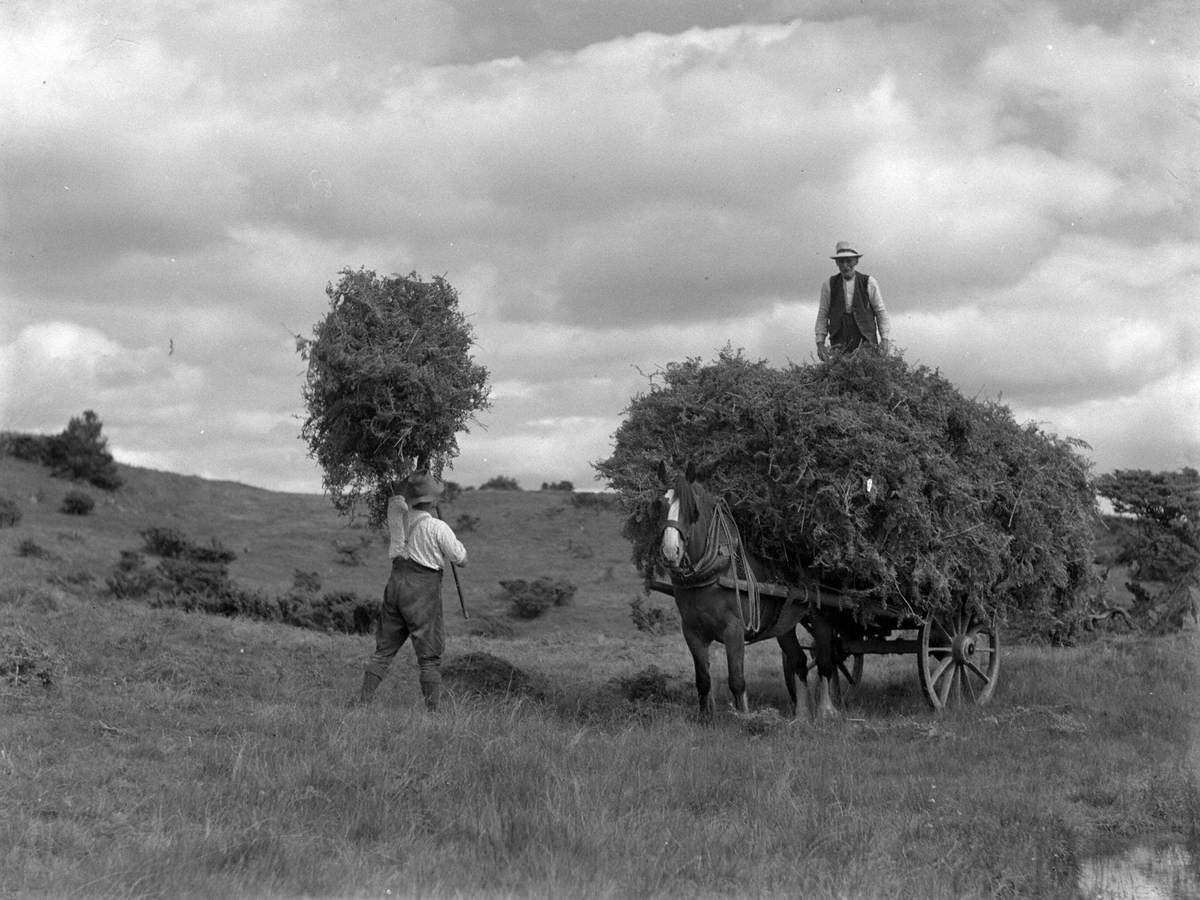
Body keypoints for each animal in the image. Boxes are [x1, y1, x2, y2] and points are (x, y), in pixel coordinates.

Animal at [652, 465, 849, 720]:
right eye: (659, 504)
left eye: (692, 509)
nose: (670, 552)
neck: (713, 572)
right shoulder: (692, 632)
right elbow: (703, 680)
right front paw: (706, 719)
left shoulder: (734, 630)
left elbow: (737, 680)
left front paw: (743, 718)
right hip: (784, 623)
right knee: (799, 660)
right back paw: (802, 715)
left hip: (820, 616)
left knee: (825, 661)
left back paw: (826, 710)